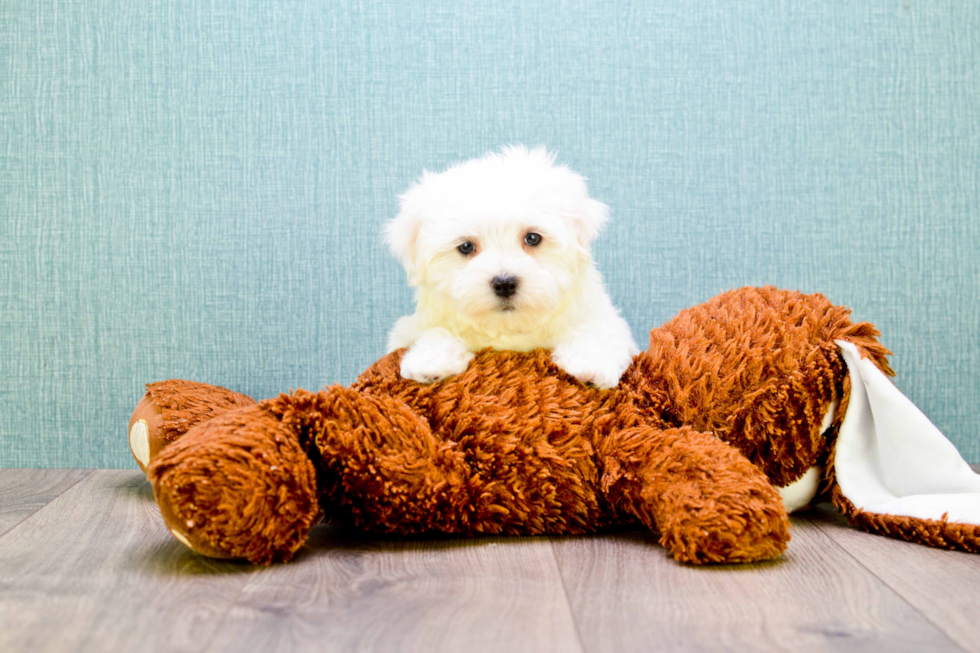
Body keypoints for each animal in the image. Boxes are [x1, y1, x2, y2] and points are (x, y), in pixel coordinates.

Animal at [386, 146, 640, 390]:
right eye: (466, 247)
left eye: (533, 238)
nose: (505, 283)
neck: (511, 330)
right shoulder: (414, 326)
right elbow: (435, 331)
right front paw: (430, 360)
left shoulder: (600, 317)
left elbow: (599, 331)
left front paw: (591, 364)